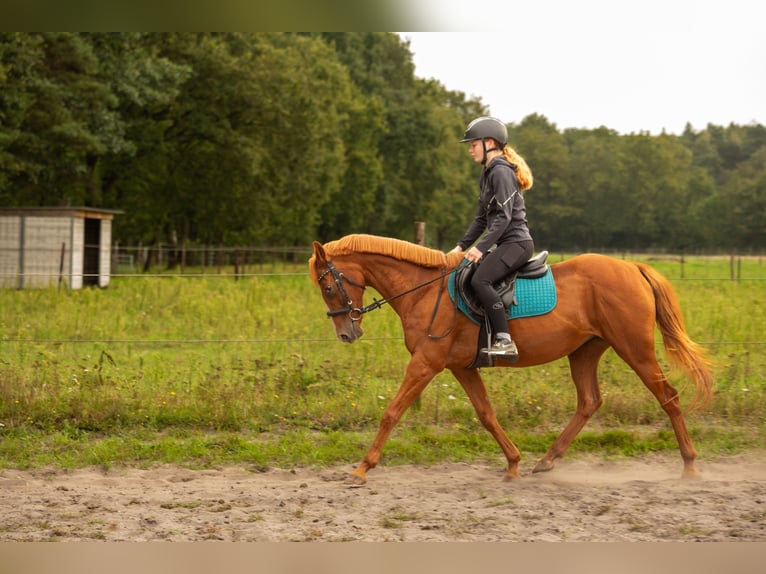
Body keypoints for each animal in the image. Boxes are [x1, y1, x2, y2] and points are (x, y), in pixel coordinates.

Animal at [308, 234, 712, 486]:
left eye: (327, 287)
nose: (347, 334)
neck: (423, 292)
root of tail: (634, 268)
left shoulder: (426, 363)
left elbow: (392, 412)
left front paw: (362, 469)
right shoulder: (460, 368)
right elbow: (487, 415)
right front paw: (513, 464)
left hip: (635, 349)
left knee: (668, 397)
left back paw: (690, 466)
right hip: (585, 351)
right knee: (589, 401)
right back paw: (546, 460)